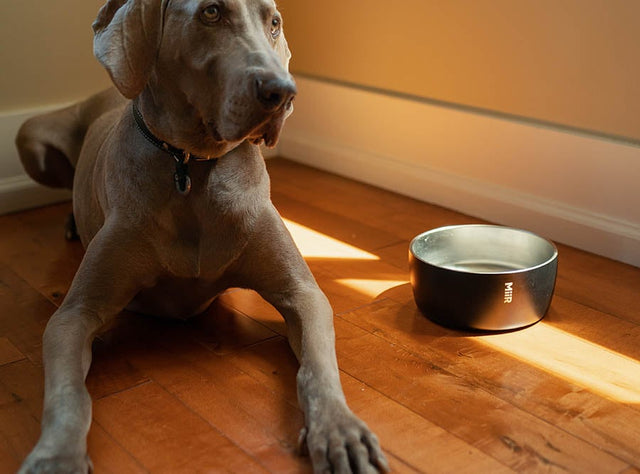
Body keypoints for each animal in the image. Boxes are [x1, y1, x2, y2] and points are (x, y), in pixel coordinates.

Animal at [15, 1, 389, 473]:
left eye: (274, 23)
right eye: (211, 12)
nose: (284, 92)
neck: (191, 166)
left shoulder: (303, 293)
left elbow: (319, 367)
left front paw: (341, 430)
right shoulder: (73, 316)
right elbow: (68, 395)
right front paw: (57, 456)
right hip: (29, 136)